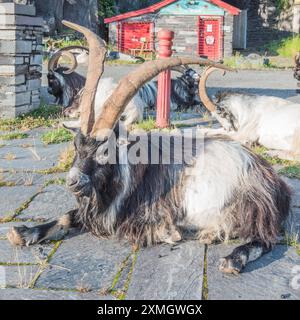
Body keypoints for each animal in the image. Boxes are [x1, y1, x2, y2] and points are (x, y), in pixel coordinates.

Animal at [8, 20, 292, 276]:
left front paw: (168, 232)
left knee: (266, 239)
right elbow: (69, 215)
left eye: (105, 150)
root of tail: (271, 182)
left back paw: (231, 259)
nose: (73, 181)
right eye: (77, 146)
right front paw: (21, 233)